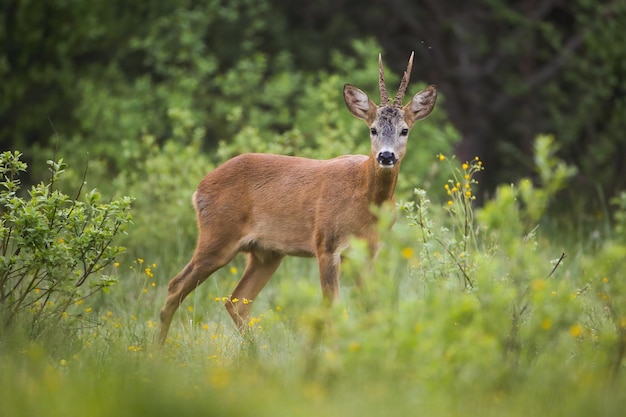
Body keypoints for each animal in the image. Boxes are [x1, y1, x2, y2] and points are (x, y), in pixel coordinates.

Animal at [156, 52, 434, 342]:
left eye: (404, 130)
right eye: (373, 129)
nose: (386, 156)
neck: (364, 198)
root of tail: (200, 187)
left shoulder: (369, 250)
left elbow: (369, 305)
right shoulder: (326, 244)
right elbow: (331, 306)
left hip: (266, 253)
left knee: (236, 300)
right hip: (218, 236)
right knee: (176, 285)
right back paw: (158, 347)